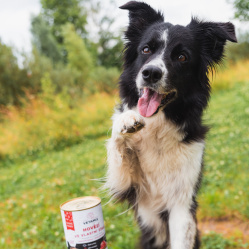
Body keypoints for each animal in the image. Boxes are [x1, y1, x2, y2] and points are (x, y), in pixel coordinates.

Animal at [104, 1, 235, 249]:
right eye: (146, 50)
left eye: (182, 57)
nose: (150, 73)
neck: (158, 125)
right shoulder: (125, 184)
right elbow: (116, 145)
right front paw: (126, 120)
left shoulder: (182, 201)